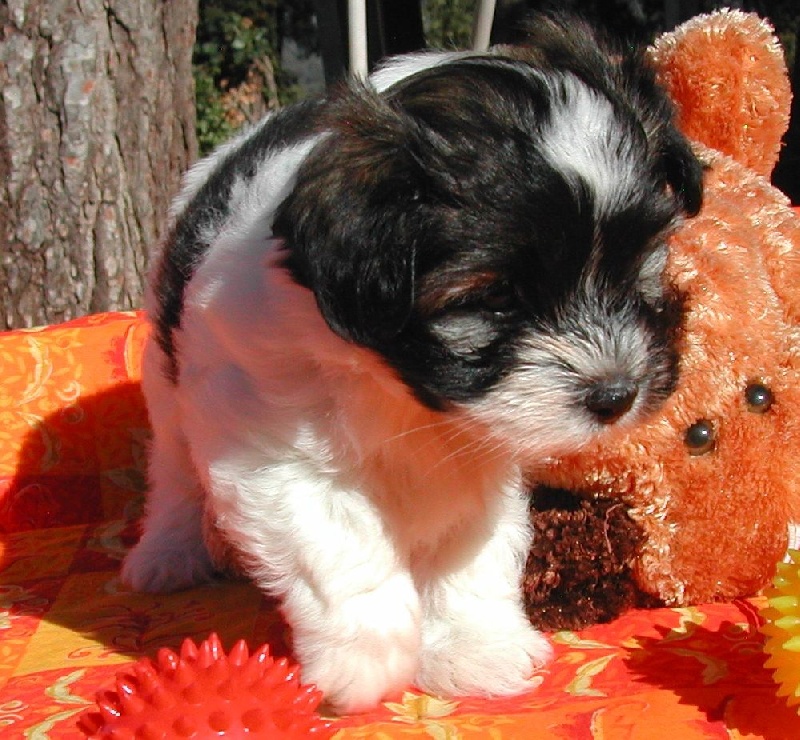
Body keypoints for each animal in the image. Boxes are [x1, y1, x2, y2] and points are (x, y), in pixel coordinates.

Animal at [122, 15, 704, 712]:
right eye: (495, 297)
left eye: (637, 268)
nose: (615, 395)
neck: (405, 395)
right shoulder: (269, 451)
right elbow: (342, 544)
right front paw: (368, 660)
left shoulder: (482, 459)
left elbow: (472, 552)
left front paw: (474, 646)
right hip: (168, 385)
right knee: (174, 473)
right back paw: (167, 553)